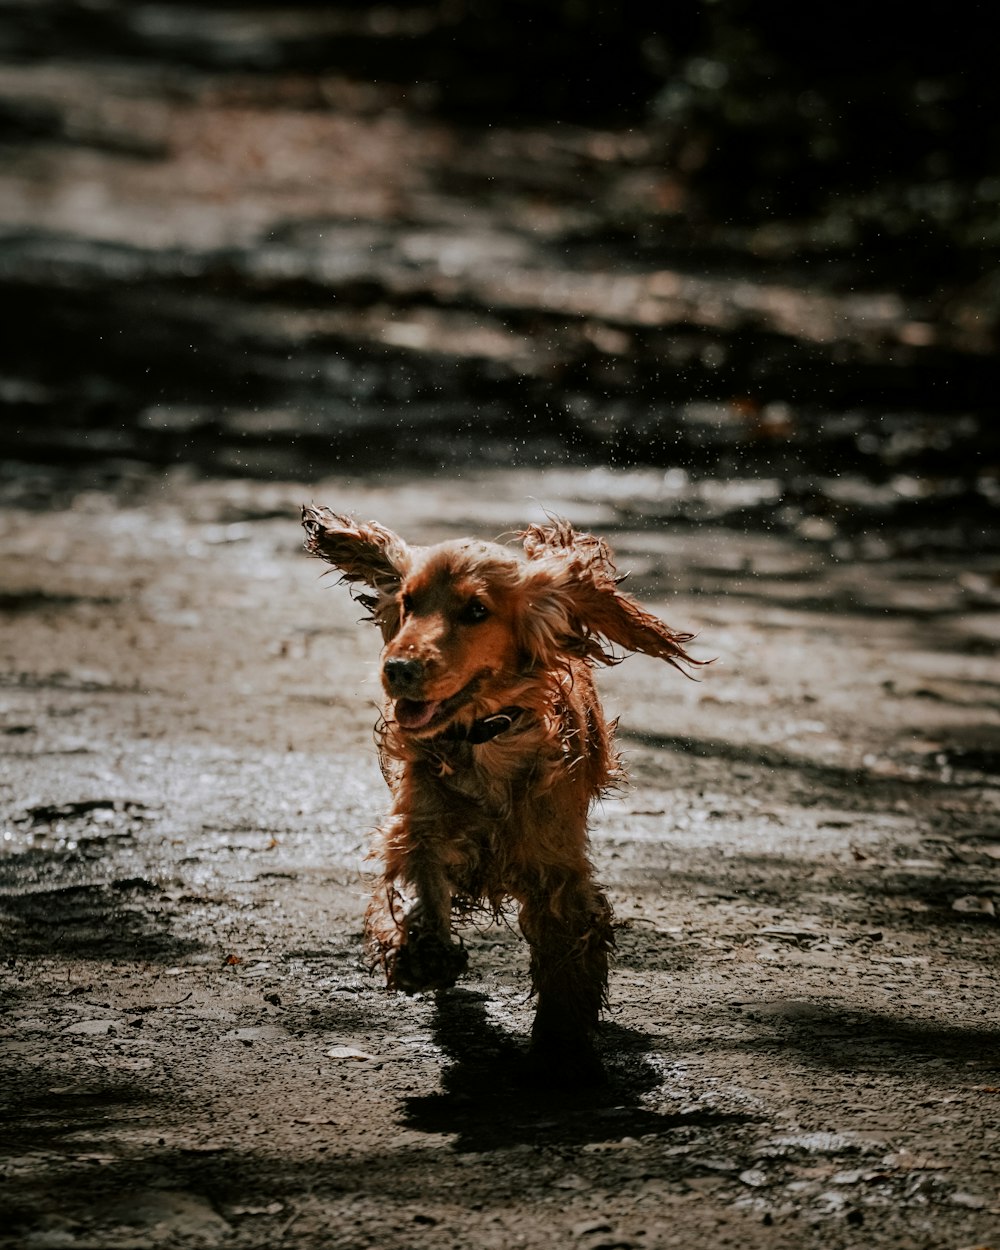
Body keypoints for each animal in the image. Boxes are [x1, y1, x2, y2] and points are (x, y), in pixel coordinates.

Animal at [301, 505, 700, 1075]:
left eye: (476, 610)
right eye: (408, 602)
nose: (397, 669)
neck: (485, 740)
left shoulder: (557, 873)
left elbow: (566, 962)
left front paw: (562, 1048)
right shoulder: (419, 824)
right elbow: (415, 876)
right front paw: (421, 952)